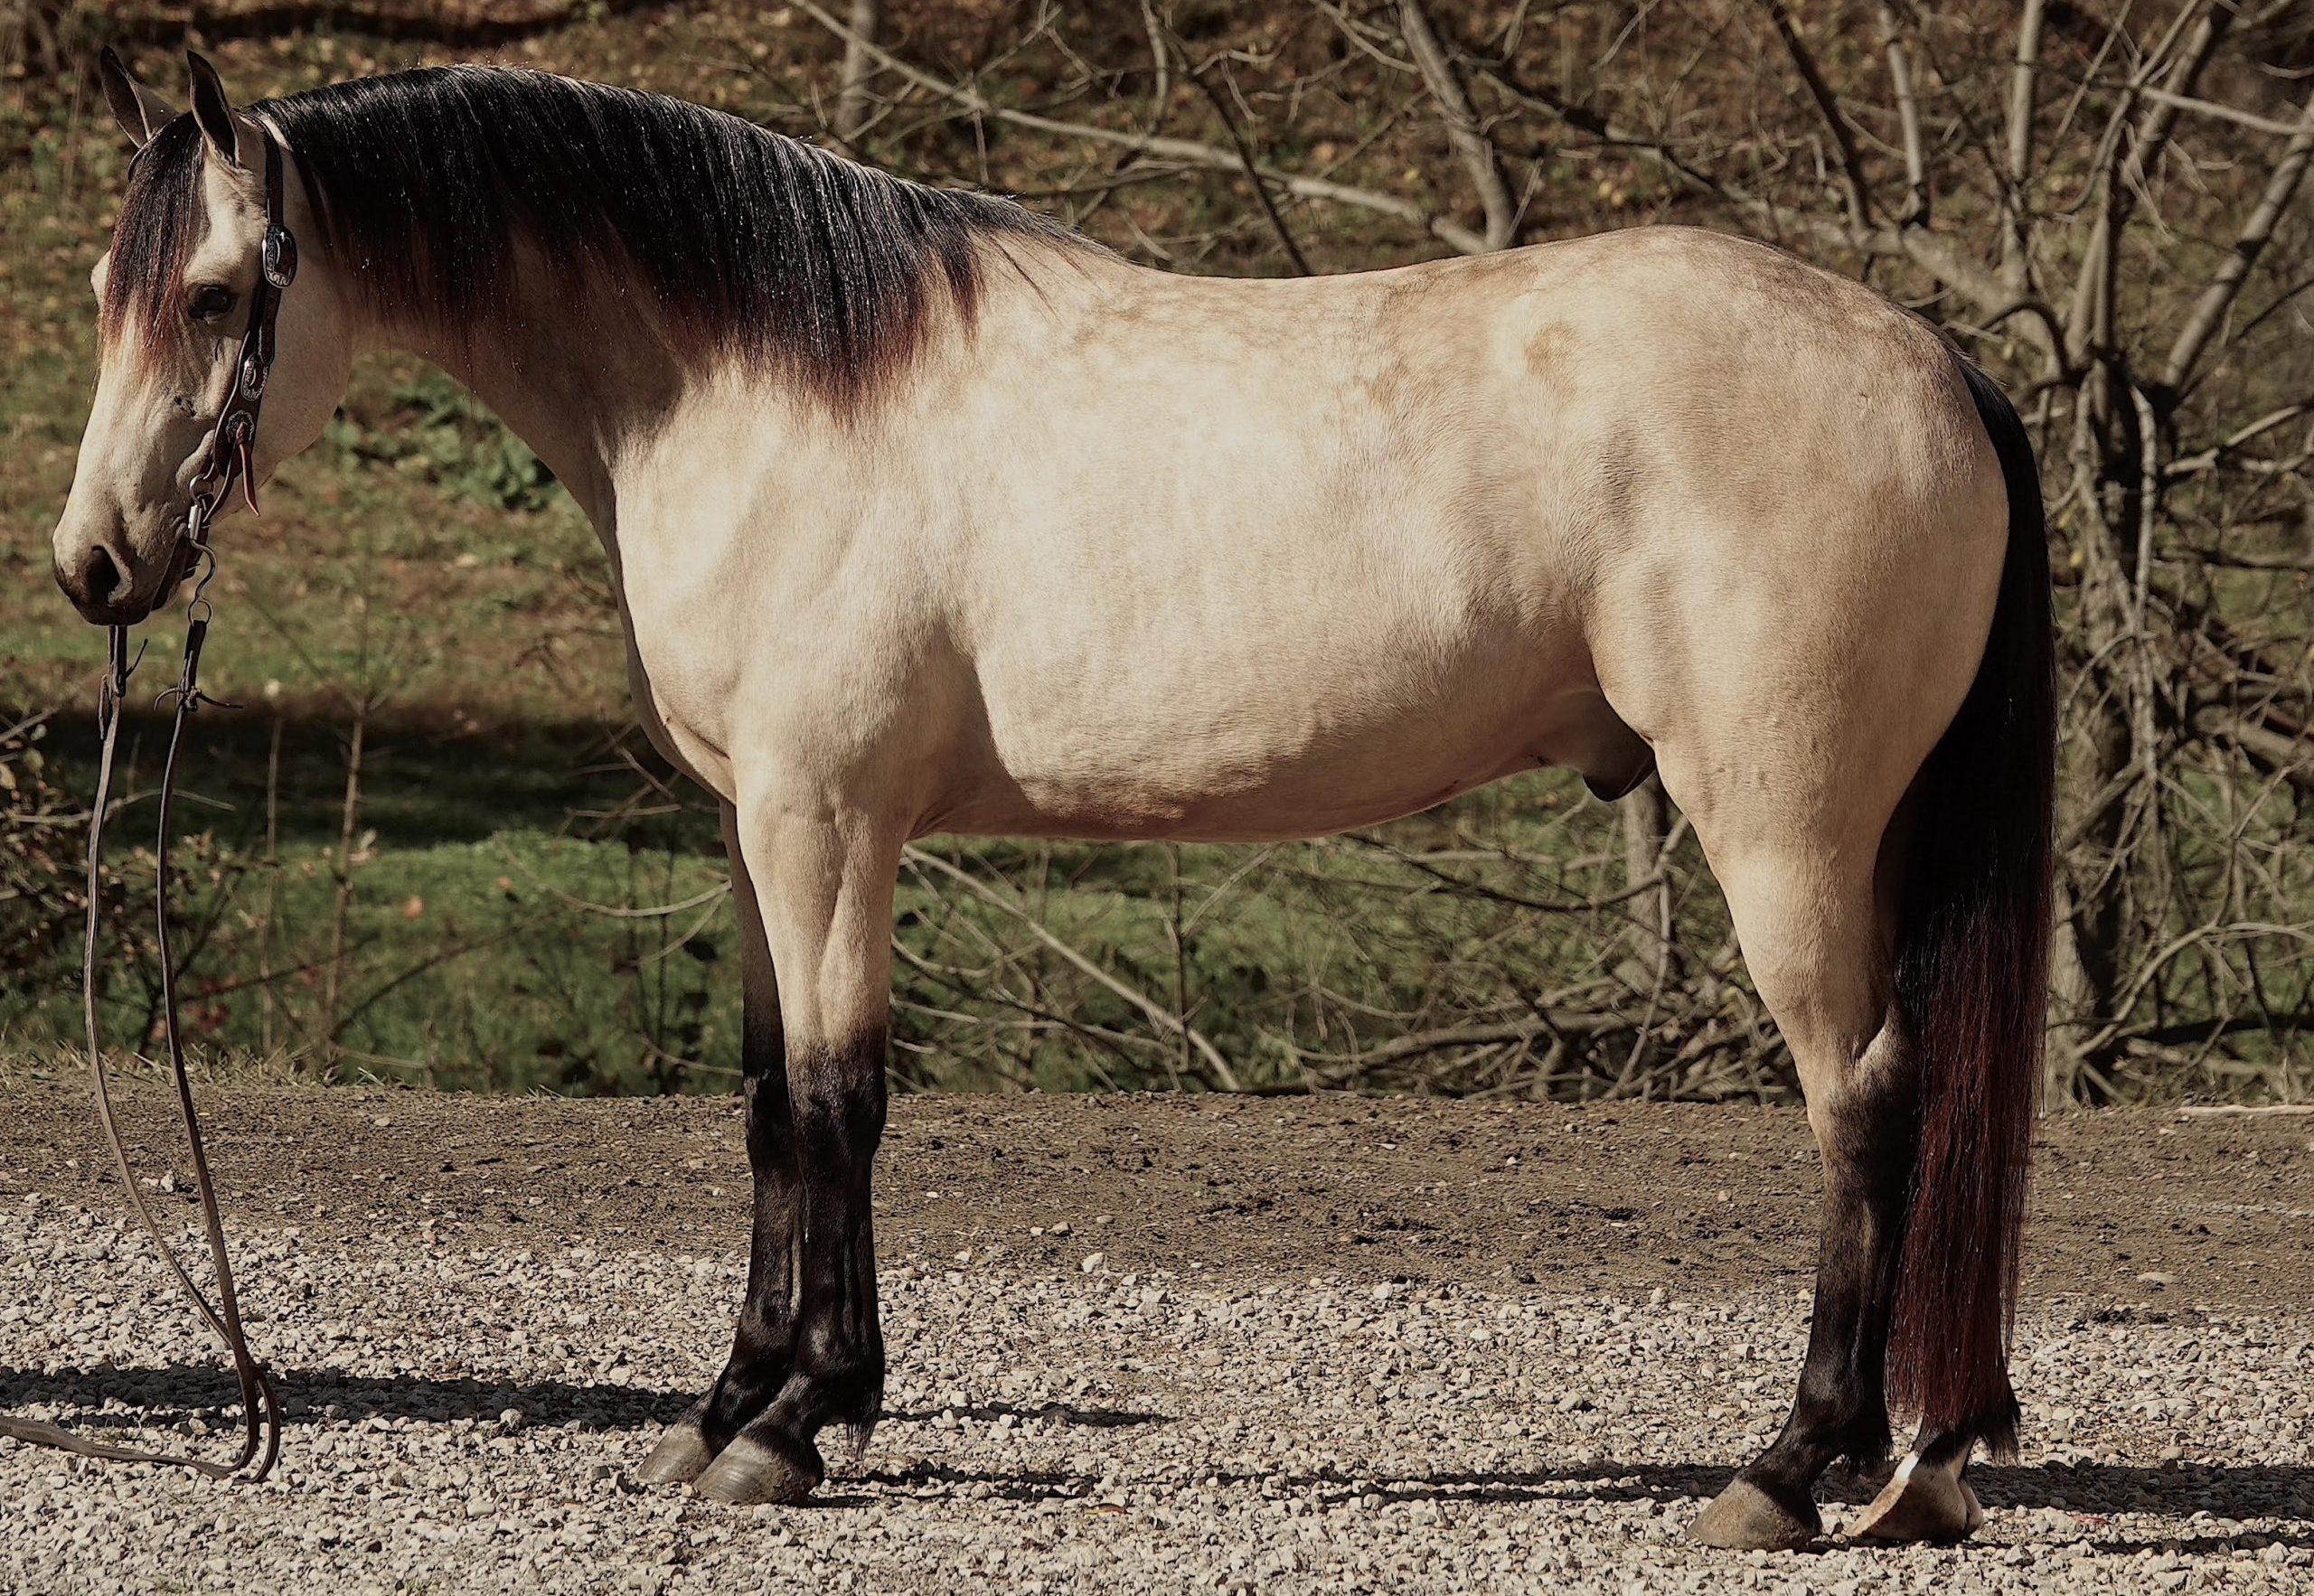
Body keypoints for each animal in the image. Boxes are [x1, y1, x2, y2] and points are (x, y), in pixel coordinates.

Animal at [54, 53, 2055, 1550]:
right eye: (102, 294)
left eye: (215, 297)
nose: (94, 567)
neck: (761, 385)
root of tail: (1937, 362)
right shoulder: (758, 830)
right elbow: (771, 1107)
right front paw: (735, 1402)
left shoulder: (828, 821)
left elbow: (839, 1102)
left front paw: (799, 1422)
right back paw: (1921, 1459)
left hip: (1785, 836)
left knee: (1867, 1107)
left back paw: (1789, 1467)